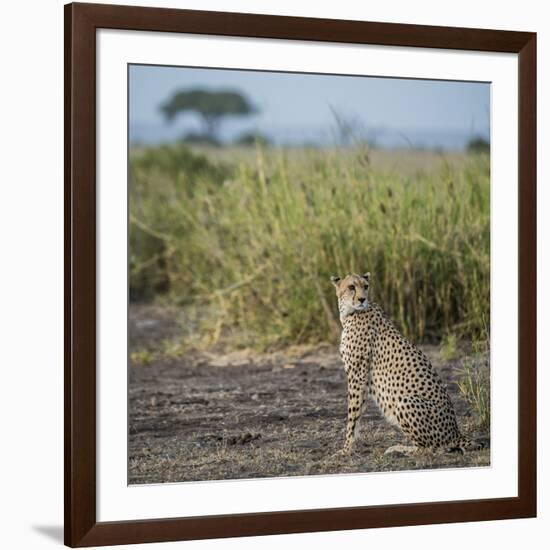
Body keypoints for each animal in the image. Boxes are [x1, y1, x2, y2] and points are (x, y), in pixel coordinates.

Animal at [330, 272, 480, 458]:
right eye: (351, 287)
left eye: (365, 286)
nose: (362, 299)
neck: (350, 313)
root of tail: (456, 431)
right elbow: (358, 413)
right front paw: (350, 446)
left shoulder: (357, 374)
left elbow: (353, 414)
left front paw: (346, 449)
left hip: (405, 400)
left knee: (429, 448)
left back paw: (399, 448)